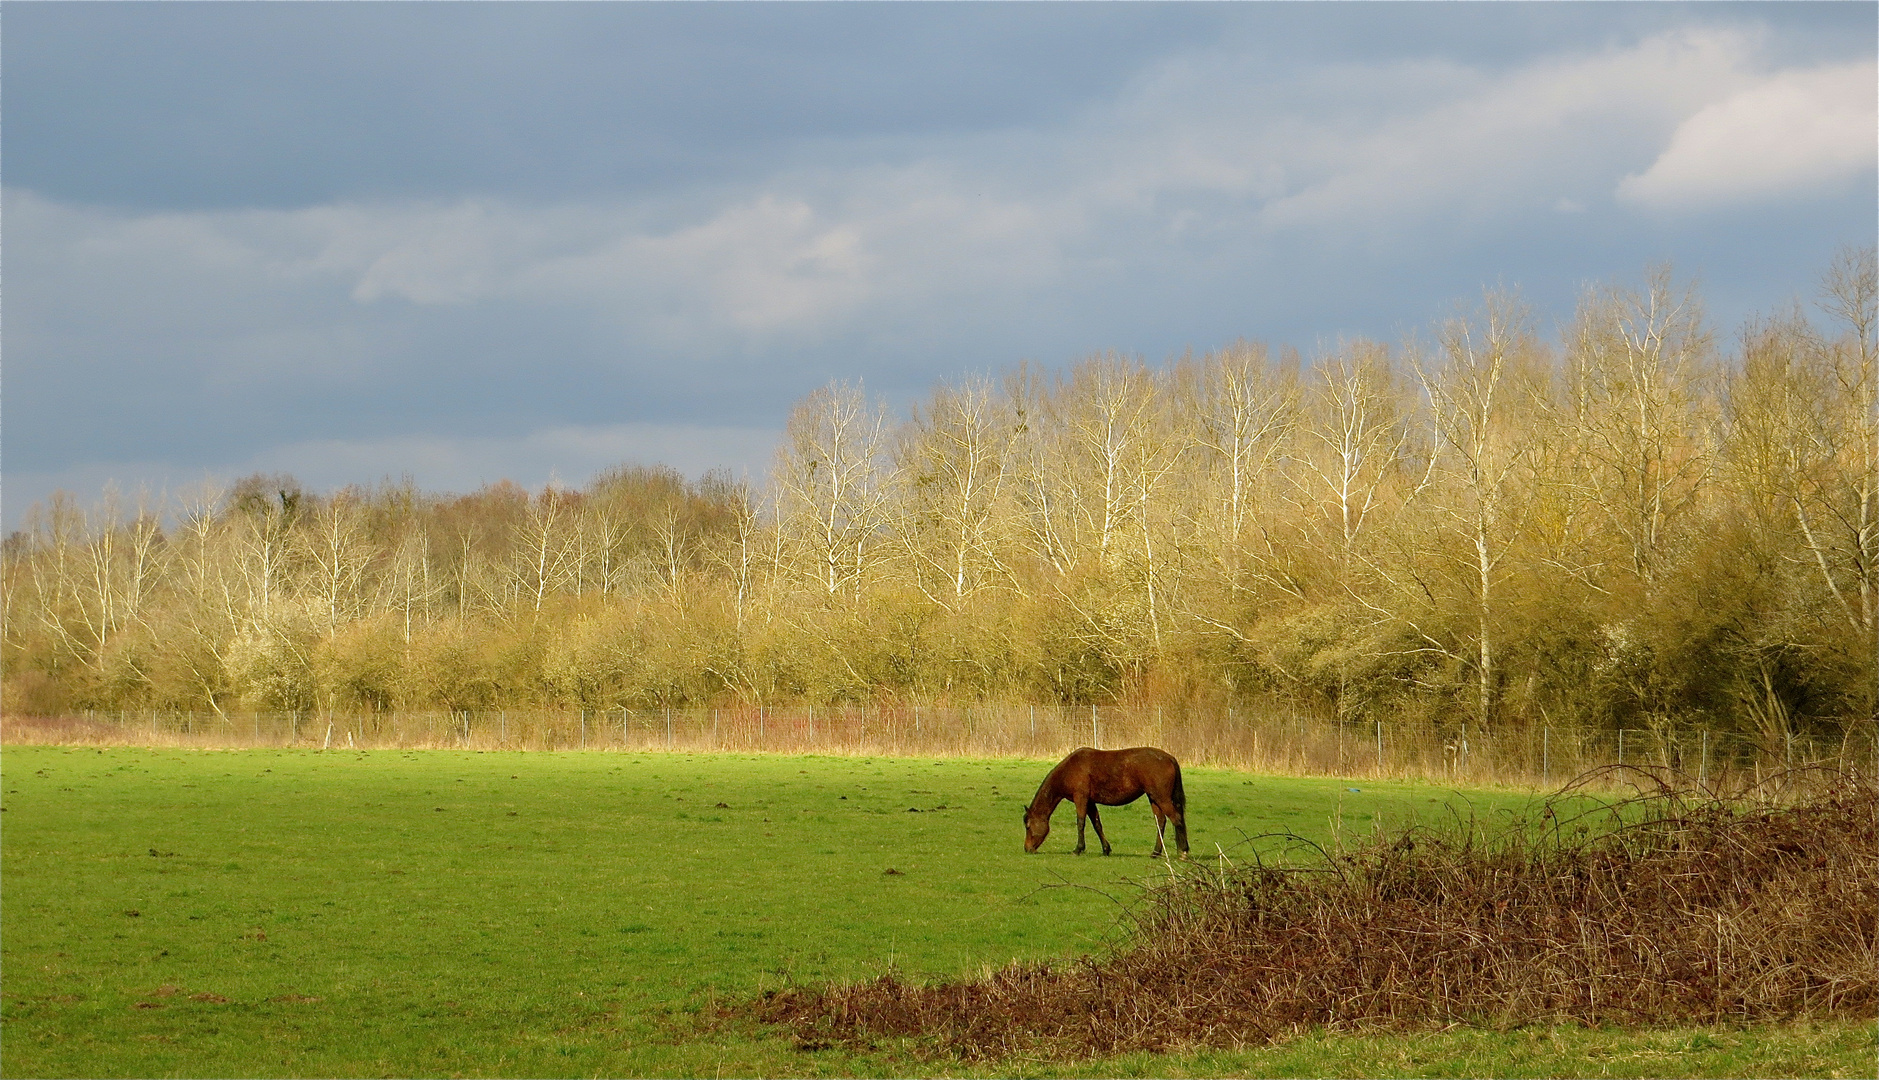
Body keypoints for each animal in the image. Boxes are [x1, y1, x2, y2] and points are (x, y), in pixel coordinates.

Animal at [1029, 747, 1187, 856]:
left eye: (1028, 826)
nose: (1027, 848)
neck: (1069, 769)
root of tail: (1169, 758)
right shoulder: (1090, 802)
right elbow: (1097, 825)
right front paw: (1106, 849)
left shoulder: (1081, 798)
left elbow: (1080, 823)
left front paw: (1078, 849)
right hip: (1154, 798)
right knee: (1161, 821)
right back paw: (1156, 852)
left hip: (1162, 798)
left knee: (1176, 819)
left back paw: (1183, 852)